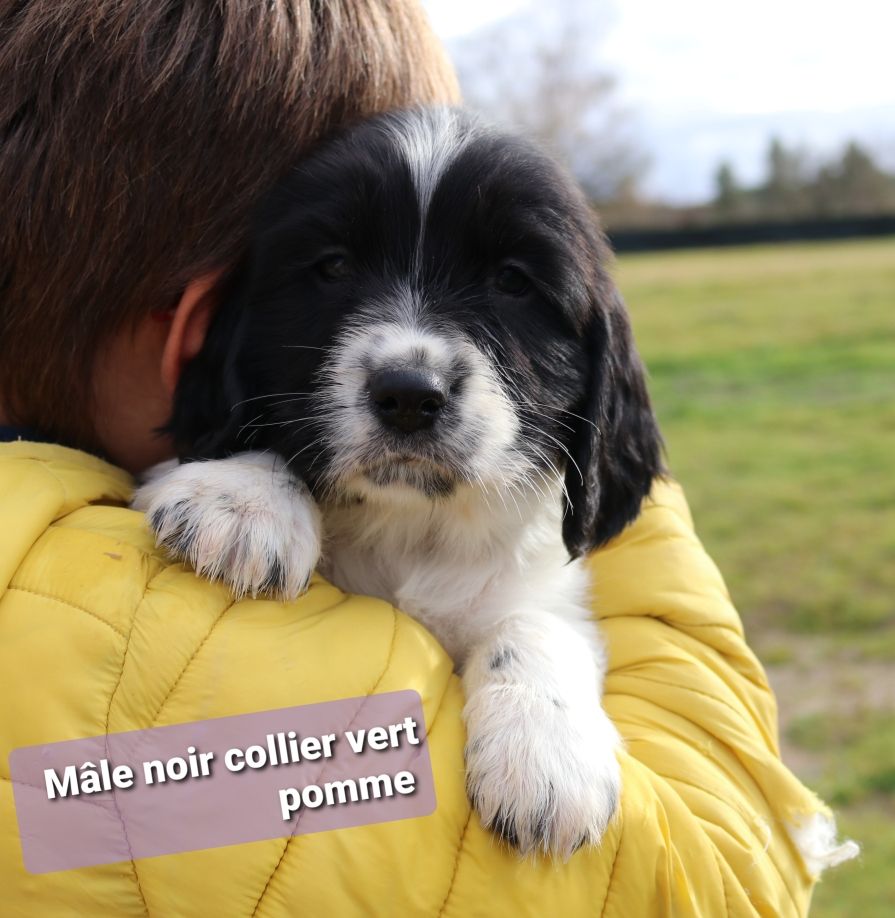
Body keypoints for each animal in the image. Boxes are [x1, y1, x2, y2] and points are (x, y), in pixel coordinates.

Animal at [135, 108, 664, 864]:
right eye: (332, 267)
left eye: (512, 281)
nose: (410, 395)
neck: (411, 525)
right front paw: (241, 499)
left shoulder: (544, 586)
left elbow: (537, 626)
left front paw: (547, 762)